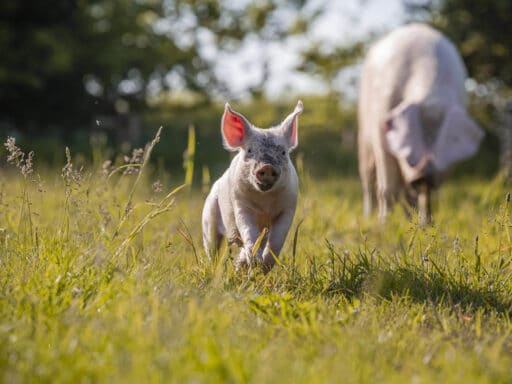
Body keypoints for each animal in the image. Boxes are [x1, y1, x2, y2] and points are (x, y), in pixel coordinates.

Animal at [358, 22, 482, 224]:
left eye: (442, 144)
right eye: (412, 143)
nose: (425, 171)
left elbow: (424, 195)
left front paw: (424, 225)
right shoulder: (380, 126)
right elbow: (387, 186)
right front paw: (385, 224)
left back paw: (409, 220)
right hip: (363, 134)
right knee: (369, 180)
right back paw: (369, 218)